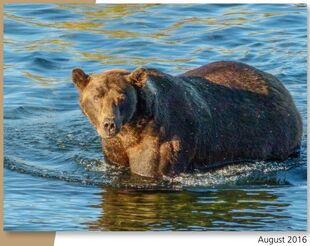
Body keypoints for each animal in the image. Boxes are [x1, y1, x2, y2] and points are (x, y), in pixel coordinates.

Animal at [71, 61, 302, 177]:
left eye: (121, 97)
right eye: (96, 96)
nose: (109, 124)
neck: (131, 129)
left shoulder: (161, 141)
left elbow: (147, 172)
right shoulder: (115, 150)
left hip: (274, 133)